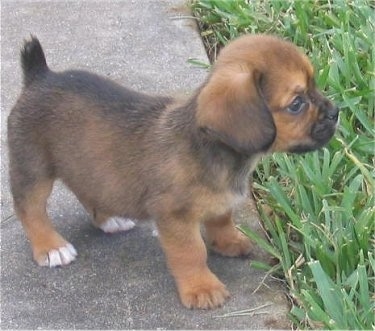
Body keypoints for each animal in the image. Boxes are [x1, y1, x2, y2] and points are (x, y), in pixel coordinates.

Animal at [7, 35, 340, 310]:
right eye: (297, 103)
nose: (336, 113)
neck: (217, 151)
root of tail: (40, 75)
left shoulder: (219, 204)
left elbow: (221, 220)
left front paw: (229, 242)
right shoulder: (175, 217)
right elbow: (191, 253)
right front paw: (201, 288)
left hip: (87, 166)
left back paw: (109, 220)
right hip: (33, 168)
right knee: (30, 209)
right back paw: (52, 247)